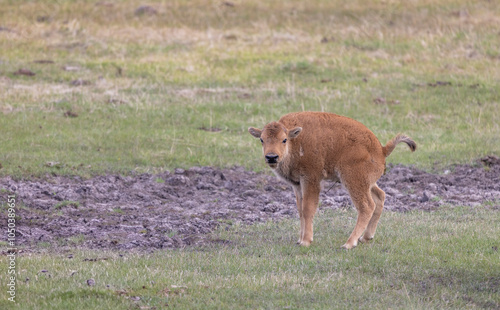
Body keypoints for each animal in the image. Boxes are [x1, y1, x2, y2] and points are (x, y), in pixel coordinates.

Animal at [248, 112, 416, 249]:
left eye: (284, 140)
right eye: (262, 139)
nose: (271, 157)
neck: (295, 140)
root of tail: (381, 149)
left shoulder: (311, 180)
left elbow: (308, 209)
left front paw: (306, 241)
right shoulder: (297, 185)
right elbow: (300, 210)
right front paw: (299, 240)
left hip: (353, 181)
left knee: (367, 206)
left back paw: (349, 244)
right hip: (368, 183)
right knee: (380, 196)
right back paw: (365, 238)